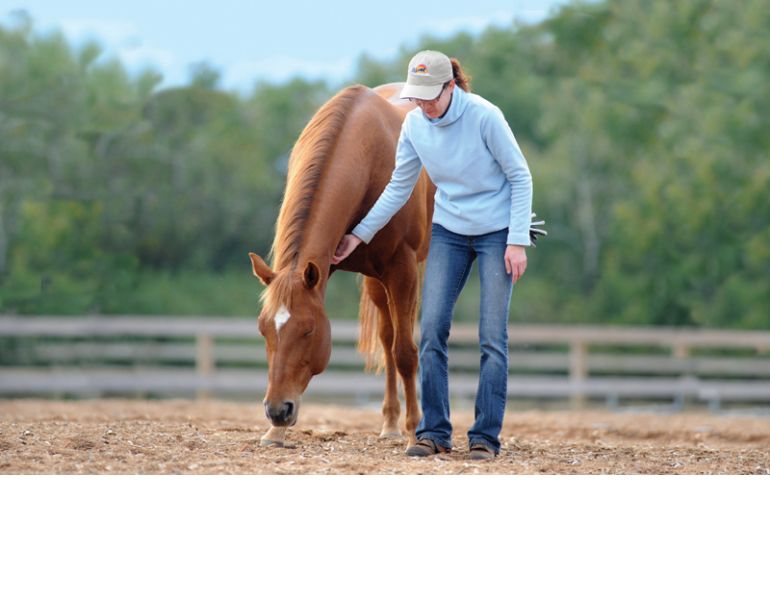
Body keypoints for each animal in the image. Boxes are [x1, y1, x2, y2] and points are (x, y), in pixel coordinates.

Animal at [248, 83, 435, 449]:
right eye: (263, 329)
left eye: (308, 330)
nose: (277, 410)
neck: (366, 153)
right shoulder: (325, 266)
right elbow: (392, 346)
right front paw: (274, 433)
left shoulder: (402, 269)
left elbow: (407, 353)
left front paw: (414, 433)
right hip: (376, 281)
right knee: (387, 338)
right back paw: (389, 423)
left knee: (403, 342)